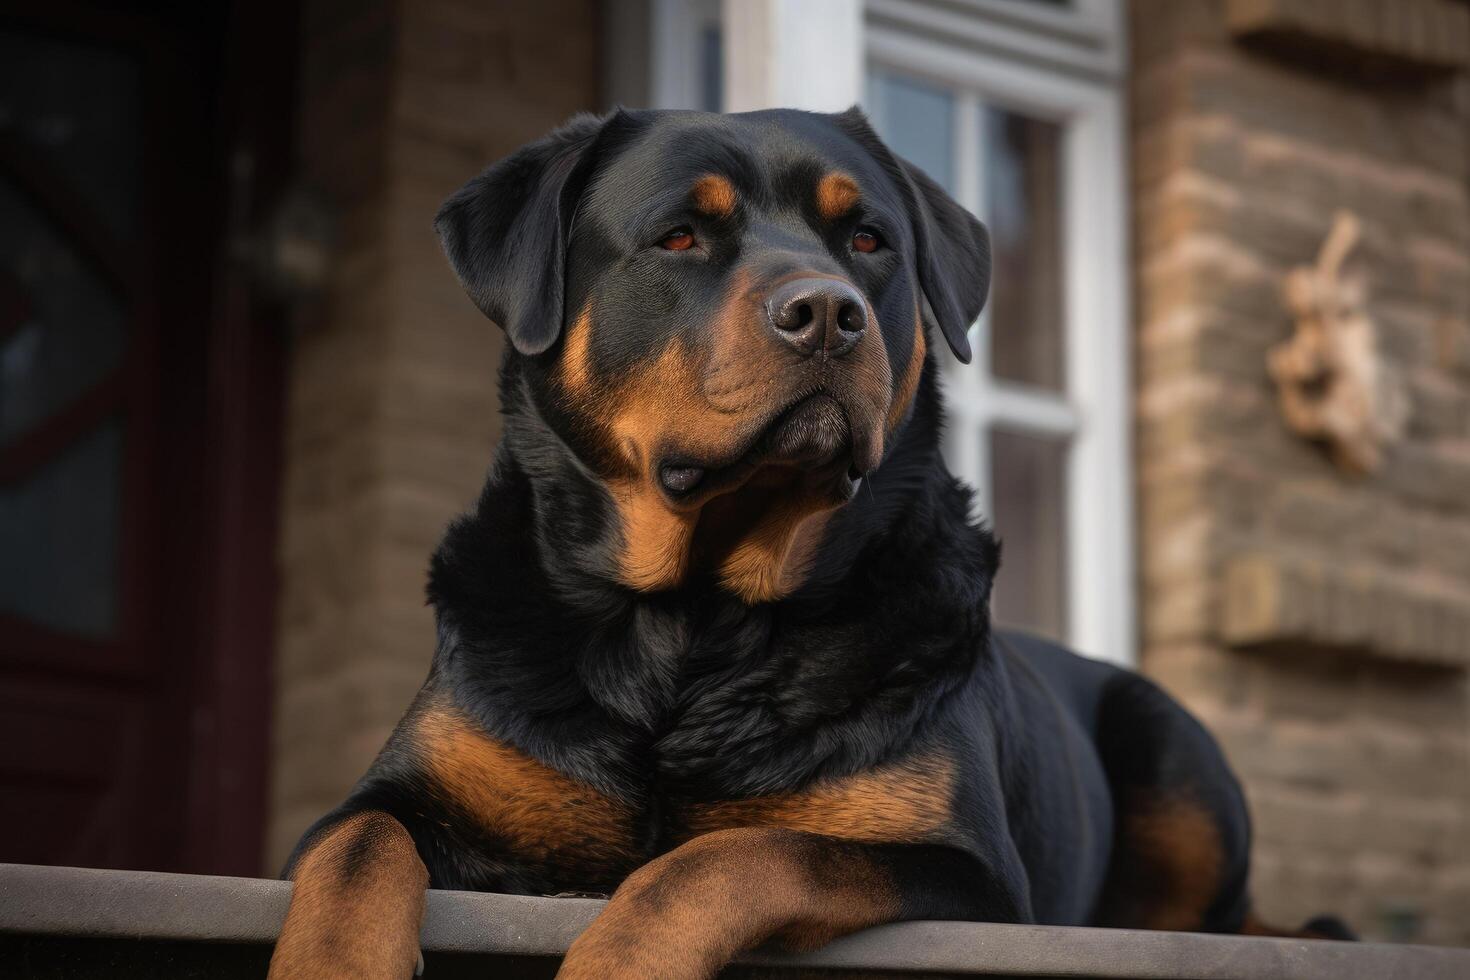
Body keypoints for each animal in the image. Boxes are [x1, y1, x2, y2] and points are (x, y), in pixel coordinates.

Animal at [264, 107, 1346, 980]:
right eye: (679, 235)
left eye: (867, 237)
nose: (827, 310)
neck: (693, 622)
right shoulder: (400, 793)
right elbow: (356, 849)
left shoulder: (964, 872)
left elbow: (729, 855)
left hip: (1174, 751)